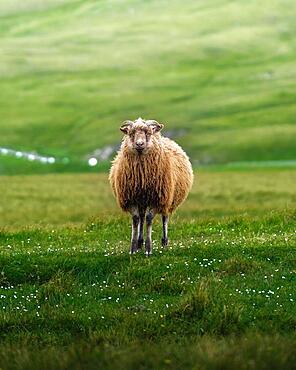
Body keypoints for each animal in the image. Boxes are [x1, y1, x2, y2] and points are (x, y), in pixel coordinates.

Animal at [109, 118, 194, 254]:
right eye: (131, 133)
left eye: (148, 133)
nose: (139, 144)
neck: (141, 177)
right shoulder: (131, 199)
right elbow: (136, 220)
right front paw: (133, 248)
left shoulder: (156, 198)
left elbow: (149, 219)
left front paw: (148, 249)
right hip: (142, 202)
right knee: (141, 217)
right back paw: (140, 242)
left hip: (167, 199)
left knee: (164, 217)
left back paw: (164, 242)